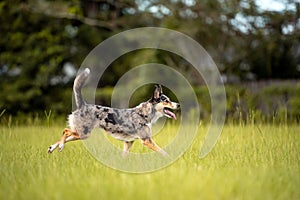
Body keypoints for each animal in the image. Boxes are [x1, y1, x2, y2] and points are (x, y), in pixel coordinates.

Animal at [47, 68, 179, 155]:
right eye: (166, 101)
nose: (178, 105)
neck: (144, 113)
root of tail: (83, 105)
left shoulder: (128, 142)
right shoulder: (146, 140)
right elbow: (163, 152)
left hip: (80, 133)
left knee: (66, 134)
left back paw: (52, 147)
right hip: (84, 133)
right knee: (65, 131)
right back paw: (60, 146)